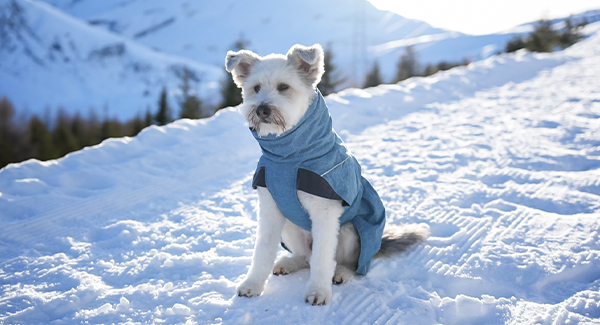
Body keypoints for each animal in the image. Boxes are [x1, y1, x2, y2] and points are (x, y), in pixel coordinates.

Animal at [224, 43, 426, 304]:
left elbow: (322, 259)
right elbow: (262, 250)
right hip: (290, 225)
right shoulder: (271, 208)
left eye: (283, 87)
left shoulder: (326, 214)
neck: (289, 158)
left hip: (350, 231)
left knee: (347, 263)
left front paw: (318, 291)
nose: (261, 109)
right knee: (305, 257)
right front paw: (253, 284)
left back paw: (341, 273)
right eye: (256, 88)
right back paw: (289, 263)